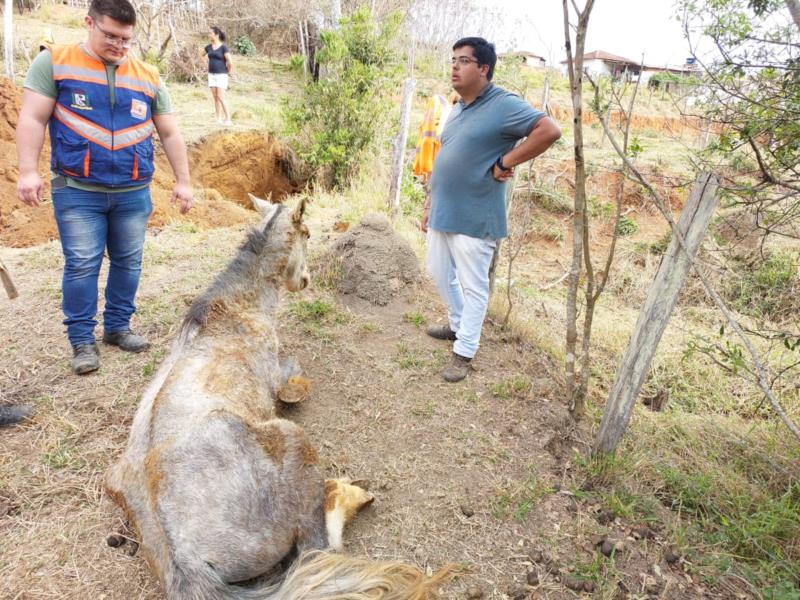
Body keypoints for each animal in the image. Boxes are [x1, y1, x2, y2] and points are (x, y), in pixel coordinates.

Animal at [104, 197, 450, 600]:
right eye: (308, 234)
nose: (305, 281)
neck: (236, 305)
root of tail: (189, 567)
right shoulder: (280, 383)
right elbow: (295, 382)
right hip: (292, 438)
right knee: (318, 550)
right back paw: (349, 494)